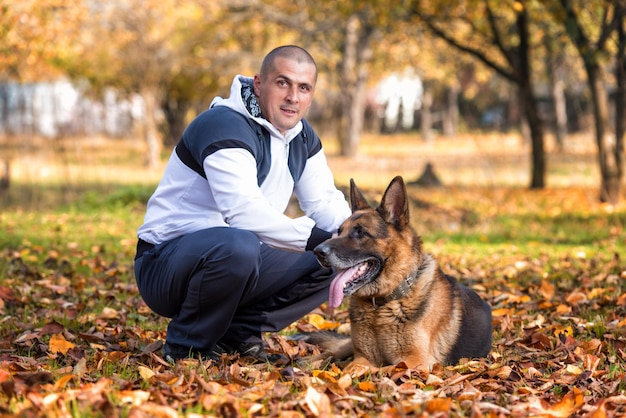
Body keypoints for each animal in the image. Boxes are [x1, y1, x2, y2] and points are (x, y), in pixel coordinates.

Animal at [308, 175, 492, 370]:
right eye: (339, 231)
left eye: (360, 232)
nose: (318, 251)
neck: (381, 306)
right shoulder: (363, 356)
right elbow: (351, 367)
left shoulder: (413, 362)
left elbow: (379, 370)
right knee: (335, 350)